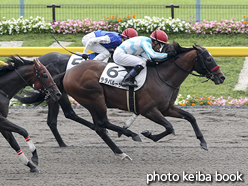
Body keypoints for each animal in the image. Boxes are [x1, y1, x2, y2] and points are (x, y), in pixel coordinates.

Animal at [54, 41, 225, 160]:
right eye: (208, 59)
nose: (221, 77)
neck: (164, 77)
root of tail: (68, 73)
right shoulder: (148, 110)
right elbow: (169, 127)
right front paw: (148, 134)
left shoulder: (166, 108)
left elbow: (190, 117)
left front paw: (203, 142)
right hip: (95, 98)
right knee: (103, 123)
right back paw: (130, 134)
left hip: (91, 103)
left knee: (100, 128)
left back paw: (121, 152)